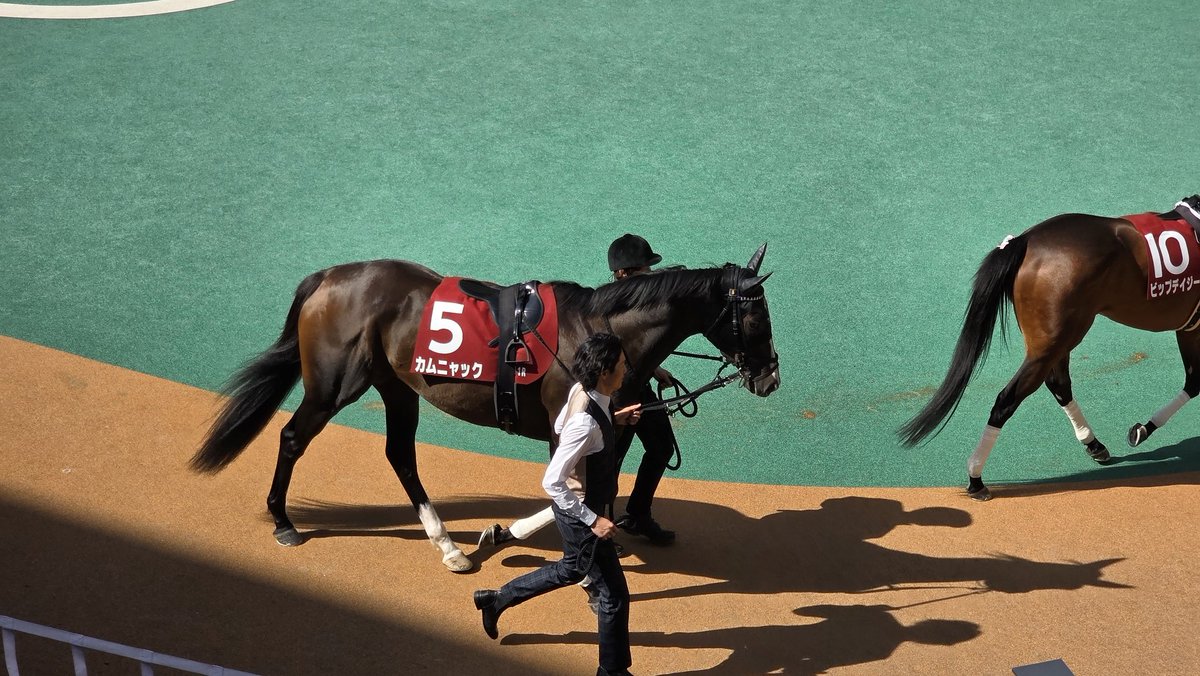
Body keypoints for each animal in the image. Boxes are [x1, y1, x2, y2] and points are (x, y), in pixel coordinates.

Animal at [192, 245, 780, 571]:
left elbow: (598, 488)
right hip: (335, 386)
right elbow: (571, 490)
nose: (770, 376)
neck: (600, 334)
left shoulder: (613, 426)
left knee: (400, 454)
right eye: (756, 317)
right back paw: (283, 520)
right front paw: (505, 533)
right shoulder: (568, 430)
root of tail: (328, 276)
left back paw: (446, 544)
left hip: (398, 385)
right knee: (294, 437)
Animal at [899, 201, 1200, 500]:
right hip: (1053, 343)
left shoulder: (1189, 326)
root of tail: (1024, 240)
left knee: (1058, 384)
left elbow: (1193, 382)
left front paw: (1143, 429)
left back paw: (1092, 443)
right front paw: (1145, 429)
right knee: (1007, 399)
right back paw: (976, 478)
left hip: (1058, 340)